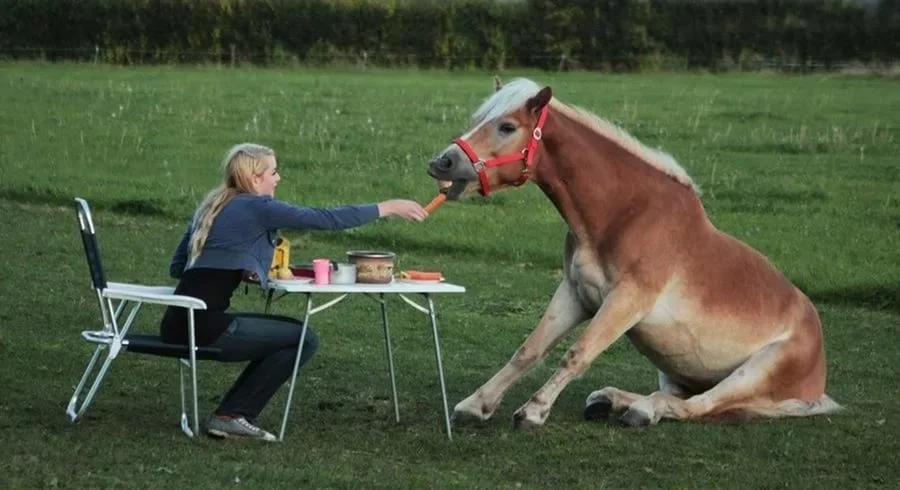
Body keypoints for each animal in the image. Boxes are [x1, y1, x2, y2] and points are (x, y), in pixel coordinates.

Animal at [425, 77, 842, 429]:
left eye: (507, 127)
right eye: (479, 119)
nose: (441, 162)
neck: (623, 214)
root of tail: (816, 380)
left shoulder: (627, 301)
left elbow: (578, 353)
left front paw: (533, 411)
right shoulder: (576, 293)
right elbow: (530, 349)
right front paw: (476, 404)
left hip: (752, 373)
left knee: (698, 406)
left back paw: (641, 410)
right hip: (675, 370)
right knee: (680, 396)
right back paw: (610, 400)